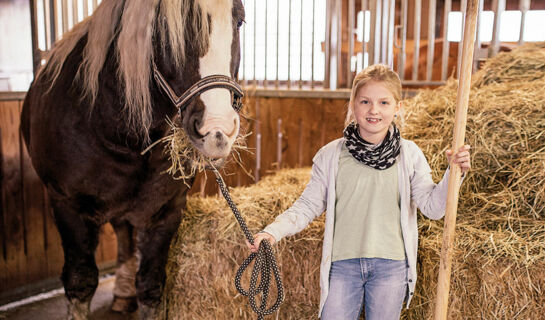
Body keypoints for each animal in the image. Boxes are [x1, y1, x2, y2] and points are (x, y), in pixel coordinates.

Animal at [19, 0, 244, 318]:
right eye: (165, 27)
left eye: (239, 22)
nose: (217, 130)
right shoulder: (67, 207)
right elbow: (80, 283)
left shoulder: (166, 211)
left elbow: (150, 286)